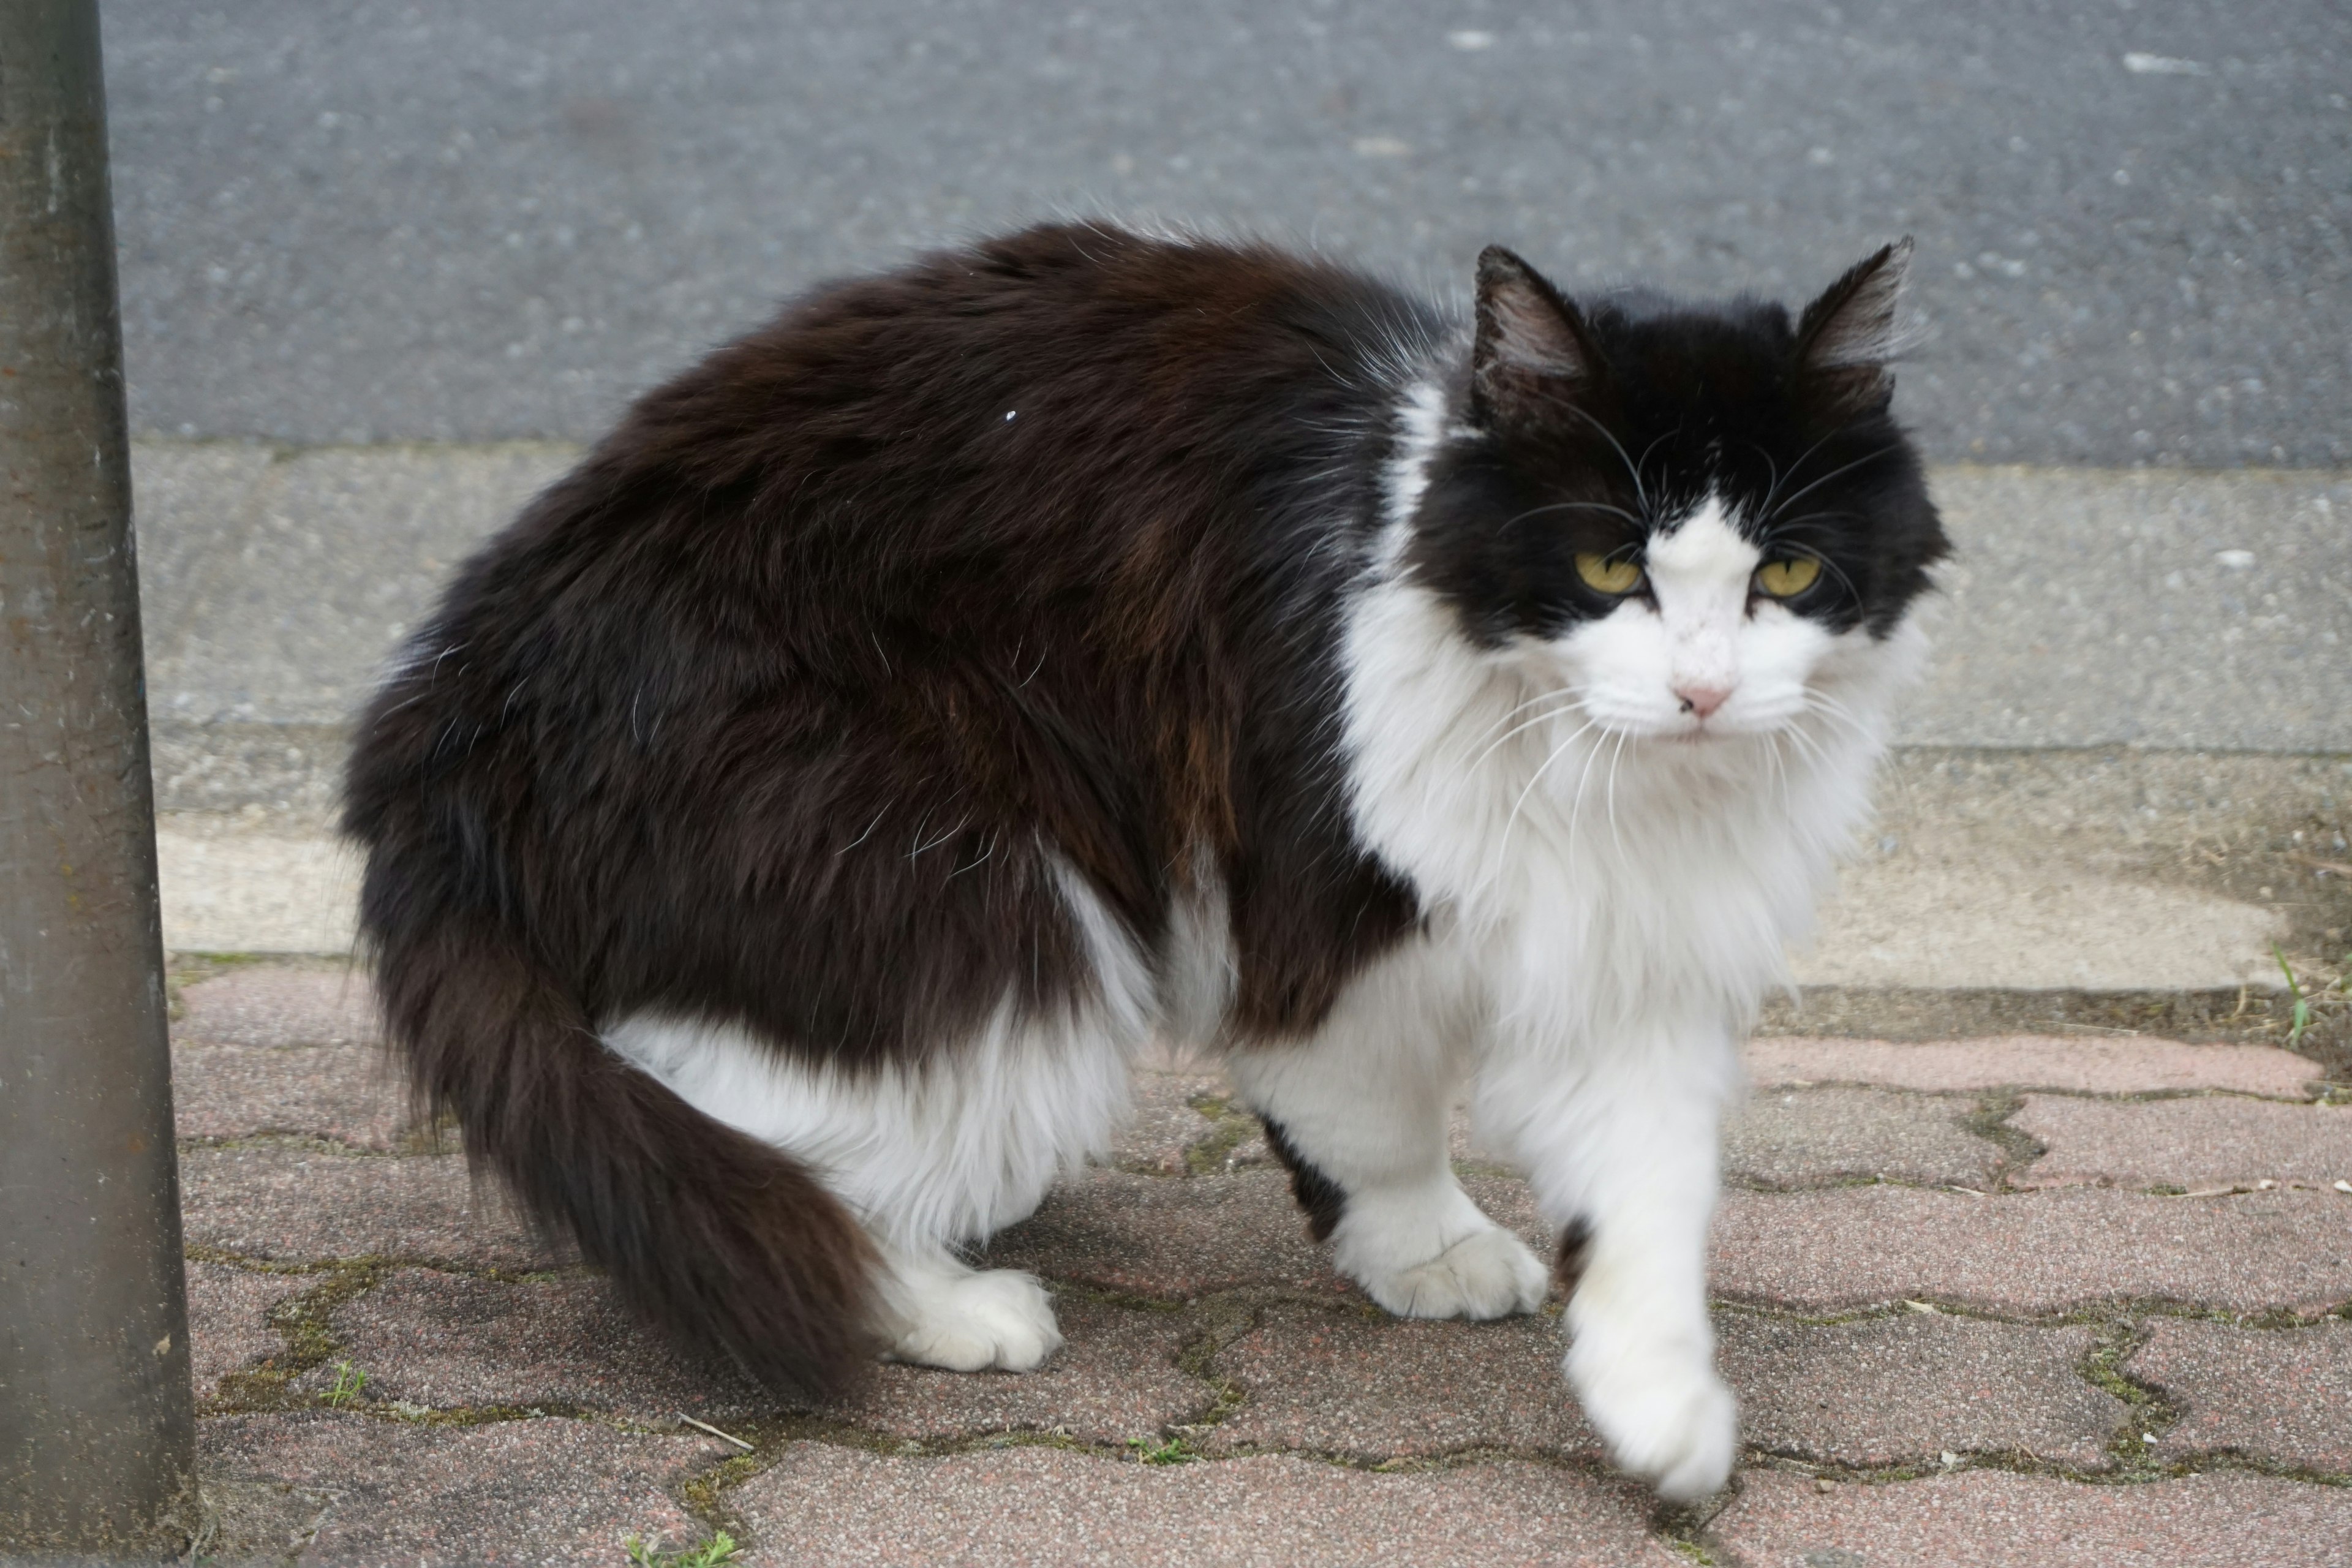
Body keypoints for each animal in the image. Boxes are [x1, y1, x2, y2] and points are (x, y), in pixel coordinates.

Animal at [336, 217, 1947, 1495]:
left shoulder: (1631, 950)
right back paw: (935, 1297)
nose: (1701, 691)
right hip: (975, 887)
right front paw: (1419, 1246)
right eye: (1612, 566)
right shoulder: (1313, 895)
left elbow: (1647, 1192)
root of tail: (445, 693)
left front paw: (1659, 1401)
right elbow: (1369, 1113)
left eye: (1785, 571)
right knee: (729, 1138)